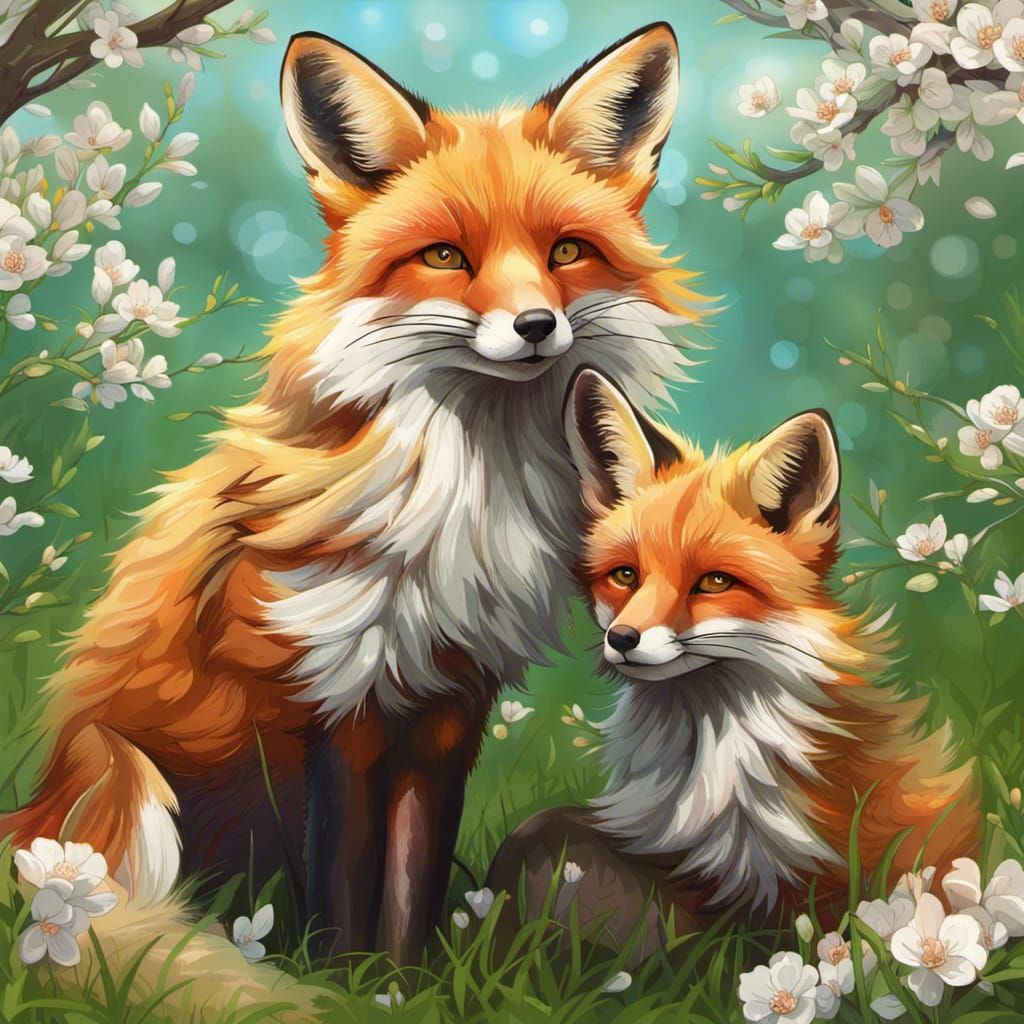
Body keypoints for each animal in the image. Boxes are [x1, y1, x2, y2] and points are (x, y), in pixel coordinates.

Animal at [1, 25, 704, 967]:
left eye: (564, 252)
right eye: (445, 256)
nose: (536, 327)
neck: (461, 502)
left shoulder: (446, 709)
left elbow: (409, 886)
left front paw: (399, 984)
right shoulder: (326, 710)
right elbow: (338, 891)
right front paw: (342, 982)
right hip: (126, 782)